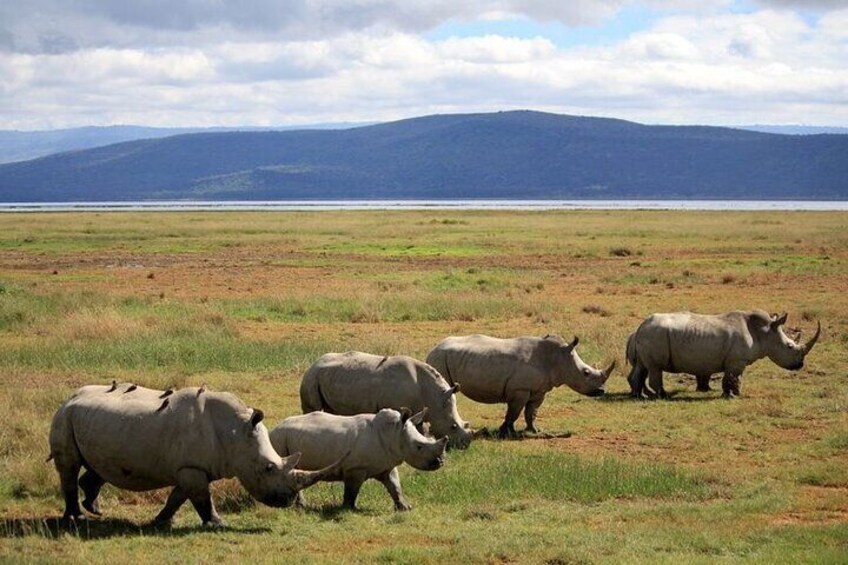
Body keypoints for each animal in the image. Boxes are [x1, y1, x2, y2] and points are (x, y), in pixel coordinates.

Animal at [49, 382, 344, 526]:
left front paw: (161, 522)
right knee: (69, 467)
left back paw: (94, 509)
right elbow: (201, 498)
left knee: (97, 466)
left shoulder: (192, 468)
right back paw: (77, 518)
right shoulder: (192, 469)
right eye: (269, 468)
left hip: (91, 420)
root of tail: (69, 397)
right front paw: (217, 524)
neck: (237, 433)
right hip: (64, 416)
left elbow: (178, 497)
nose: (288, 501)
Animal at [269, 408, 448, 511]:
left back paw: (301, 506)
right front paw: (349, 509)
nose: (440, 462)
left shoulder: (387, 464)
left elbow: (395, 486)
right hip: (279, 439)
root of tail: (275, 428)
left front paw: (405, 507)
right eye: (419, 447)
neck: (394, 433)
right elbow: (352, 490)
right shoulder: (355, 468)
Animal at [300, 351, 472, 449]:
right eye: (453, 426)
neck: (434, 397)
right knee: (312, 408)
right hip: (312, 377)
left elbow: (420, 429)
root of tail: (314, 363)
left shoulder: (421, 409)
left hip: (328, 376)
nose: (464, 446)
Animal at [426, 334, 615, 438]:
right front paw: (507, 433)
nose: (601, 391)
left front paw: (534, 431)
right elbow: (514, 412)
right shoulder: (520, 389)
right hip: (440, 358)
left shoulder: (539, 390)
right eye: (586, 373)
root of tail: (434, 348)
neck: (558, 358)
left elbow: (531, 412)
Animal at [625, 310, 821, 399]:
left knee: (642, 367)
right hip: (654, 335)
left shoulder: (734, 361)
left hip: (649, 335)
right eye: (790, 347)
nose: (800, 365)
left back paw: (639, 395)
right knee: (655, 368)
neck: (764, 333)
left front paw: (730, 394)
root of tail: (640, 326)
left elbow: (731, 378)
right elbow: (734, 377)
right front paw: (734, 396)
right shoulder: (737, 360)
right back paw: (662, 396)